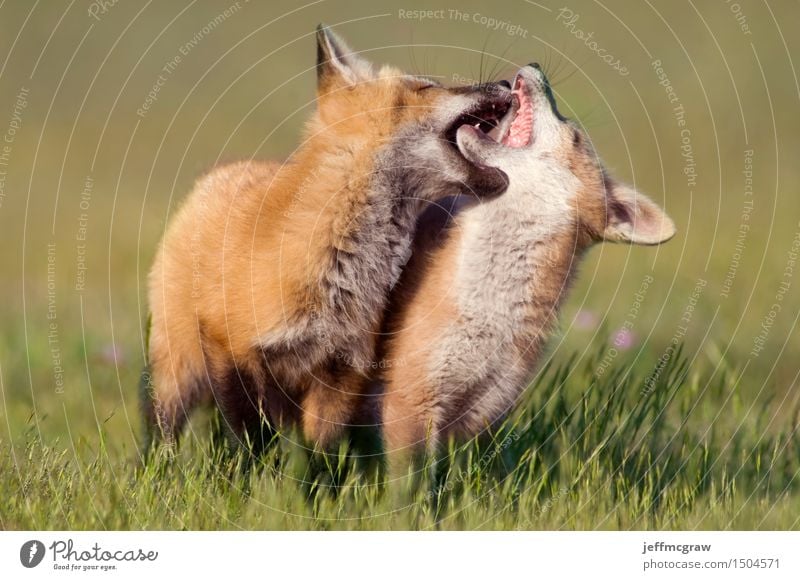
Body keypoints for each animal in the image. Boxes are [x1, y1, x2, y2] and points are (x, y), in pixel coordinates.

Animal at [145, 26, 516, 454]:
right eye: (426, 86)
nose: (508, 82)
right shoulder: (229, 346)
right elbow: (251, 438)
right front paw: (251, 472)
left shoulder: (343, 370)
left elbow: (319, 452)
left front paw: (307, 475)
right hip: (177, 369)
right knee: (163, 426)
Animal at [382, 64, 676, 472]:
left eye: (574, 136)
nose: (535, 65)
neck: (487, 317)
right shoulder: (409, 403)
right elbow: (408, 485)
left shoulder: (479, 413)